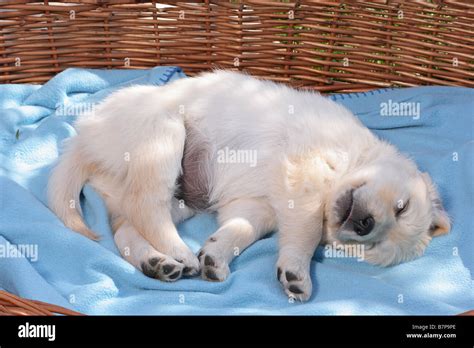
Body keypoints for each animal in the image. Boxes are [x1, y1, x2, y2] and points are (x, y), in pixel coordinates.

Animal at [49, 70, 452, 300]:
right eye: (401, 207)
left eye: (374, 246)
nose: (365, 225)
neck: (351, 160)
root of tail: (83, 138)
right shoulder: (304, 173)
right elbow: (305, 234)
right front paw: (297, 273)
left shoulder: (256, 206)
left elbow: (242, 230)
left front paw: (215, 255)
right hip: (163, 136)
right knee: (144, 205)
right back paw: (178, 253)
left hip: (175, 197)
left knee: (125, 225)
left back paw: (159, 262)